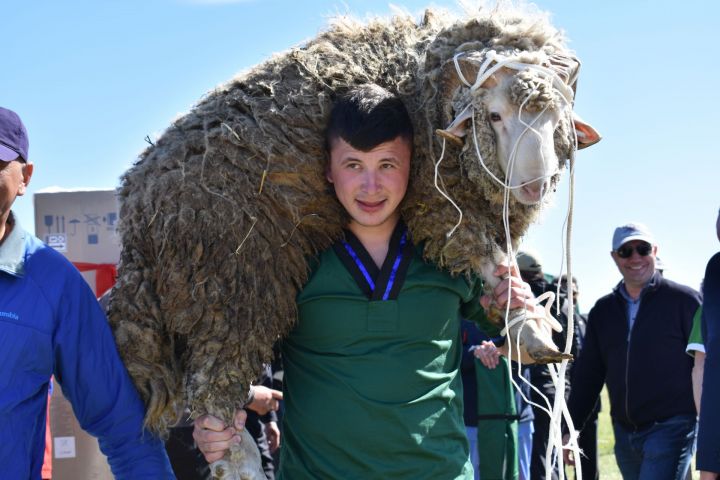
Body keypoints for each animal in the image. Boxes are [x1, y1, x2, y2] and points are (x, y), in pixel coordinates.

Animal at [108, 5, 596, 478]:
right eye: (494, 115)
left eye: (556, 119)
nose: (535, 186)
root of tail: (136, 210)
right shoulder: (437, 201)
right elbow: (488, 257)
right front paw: (530, 325)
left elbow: (502, 270)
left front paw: (520, 315)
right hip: (231, 280)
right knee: (215, 401)